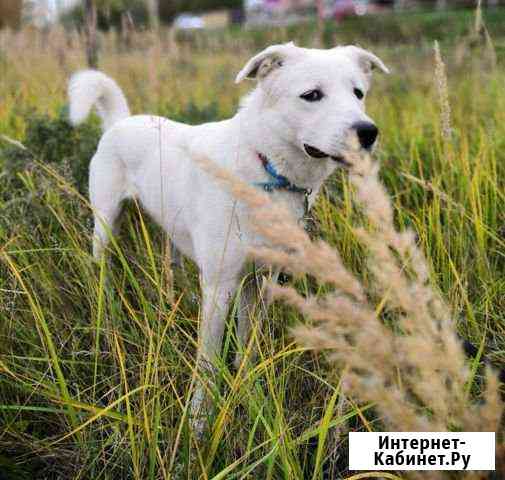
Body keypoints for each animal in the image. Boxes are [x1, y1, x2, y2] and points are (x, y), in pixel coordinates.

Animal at [69, 41, 388, 422]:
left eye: (358, 93)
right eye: (312, 95)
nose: (368, 132)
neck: (264, 168)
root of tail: (120, 122)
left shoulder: (258, 281)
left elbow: (248, 348)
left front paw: (251, 393)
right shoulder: (221, 287)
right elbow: (207, 363)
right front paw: (199, 420)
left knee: (172, 263)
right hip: (105, 223)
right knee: (101, 266)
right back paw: (106, 313)